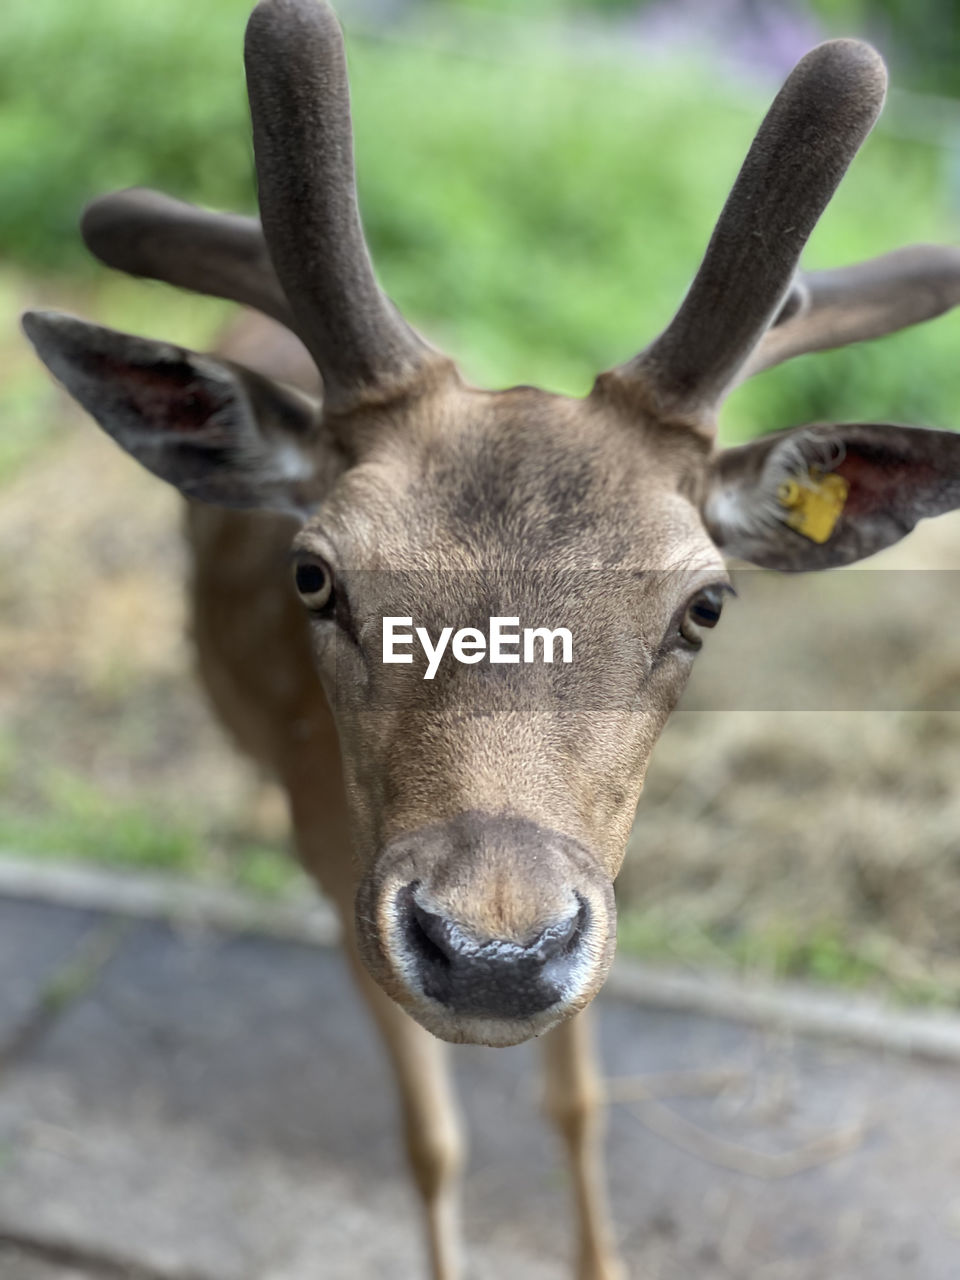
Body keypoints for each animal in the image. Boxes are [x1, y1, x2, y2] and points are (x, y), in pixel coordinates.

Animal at [18, 5, 960, 1274]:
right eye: (315, 573)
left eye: (706, 602)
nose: (494, 951)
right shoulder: (342, 865)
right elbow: (431, 1139)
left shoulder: (604, 864)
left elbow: (579, 1101)